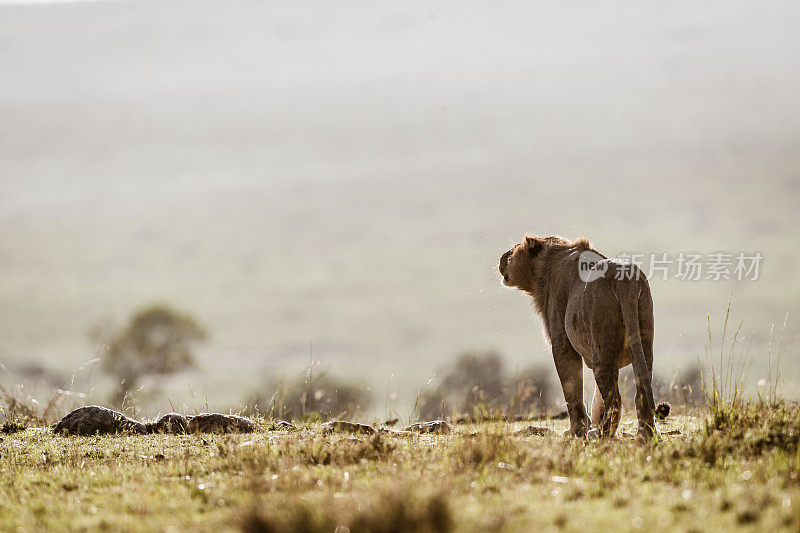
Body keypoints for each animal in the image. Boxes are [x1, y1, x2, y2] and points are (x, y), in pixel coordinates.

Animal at [500, 235, 668, 438]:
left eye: (514, 250)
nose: (502, 257)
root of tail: (625, 279)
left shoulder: (562, 343)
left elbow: (572, 390)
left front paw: (577, 430)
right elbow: (597, 398)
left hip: (601, 344)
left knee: (615, 398)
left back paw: (602, 433)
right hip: (642, 336)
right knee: (641, 388)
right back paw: (646, 433)